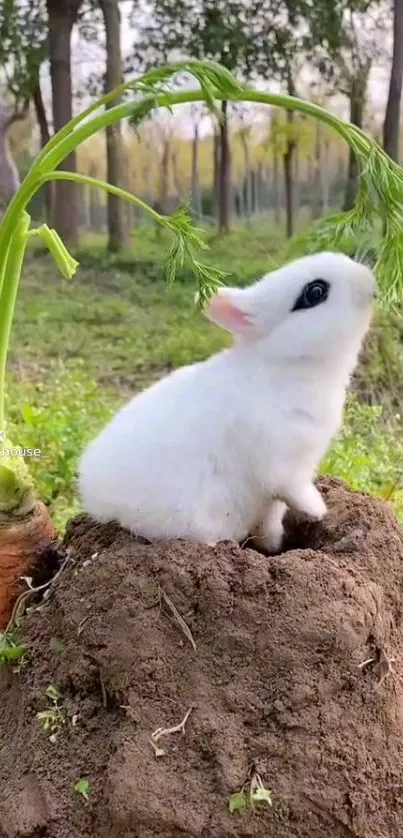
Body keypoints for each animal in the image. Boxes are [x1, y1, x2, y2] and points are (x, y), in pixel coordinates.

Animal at [79, 253, 376, 556]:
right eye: (315, 292)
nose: (369, 280)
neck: (285, 364)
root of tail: (97, 503)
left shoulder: (273, 499)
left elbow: (271, 522)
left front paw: (274, 547)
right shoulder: (283, 464)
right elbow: (294, 491)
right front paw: (318, 512)